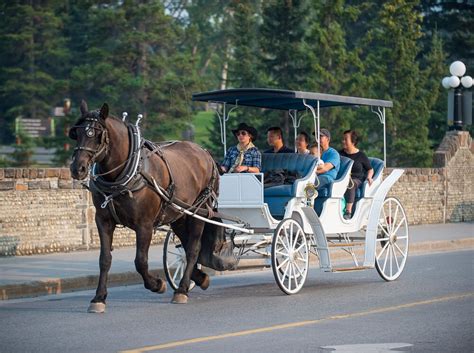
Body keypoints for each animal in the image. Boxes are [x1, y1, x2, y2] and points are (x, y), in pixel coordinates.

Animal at [68, 99, 220, 310]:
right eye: (77, 134)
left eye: (98, 135)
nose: (78, 168)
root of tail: (205, 153)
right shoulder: (103, 220)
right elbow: (104, 259)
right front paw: (99, 298)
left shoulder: (144, 224)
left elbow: (140, 261)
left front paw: (157, 284)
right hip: (179, 216)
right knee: (187, 243)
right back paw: (199, 278)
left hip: (200, 211)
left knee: (192, 249)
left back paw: (181, 289)